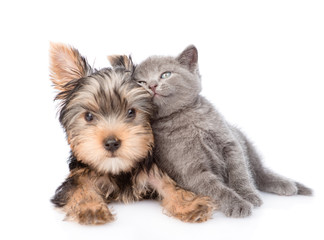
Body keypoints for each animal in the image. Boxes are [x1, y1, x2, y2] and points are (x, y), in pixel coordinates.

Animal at [50, 43, 215, 225]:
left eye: (131, 112)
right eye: (88, 116)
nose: (111, 143)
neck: (118, 169)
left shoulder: (150, 169)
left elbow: (167, 183)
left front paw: (189, 205)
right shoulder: (80, 173)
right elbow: (80, 186)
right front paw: (90, 208)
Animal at [130, 45, 312, 218]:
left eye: (165, 74)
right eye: (141, 82)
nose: (152, 85)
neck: (187, 117)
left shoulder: (230, 143)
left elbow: (240, 172)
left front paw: (248, 195)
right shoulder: (191, 170)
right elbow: (216, 189)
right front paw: (238, 204)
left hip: (244, 139)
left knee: (259, 172)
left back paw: (288, 185)